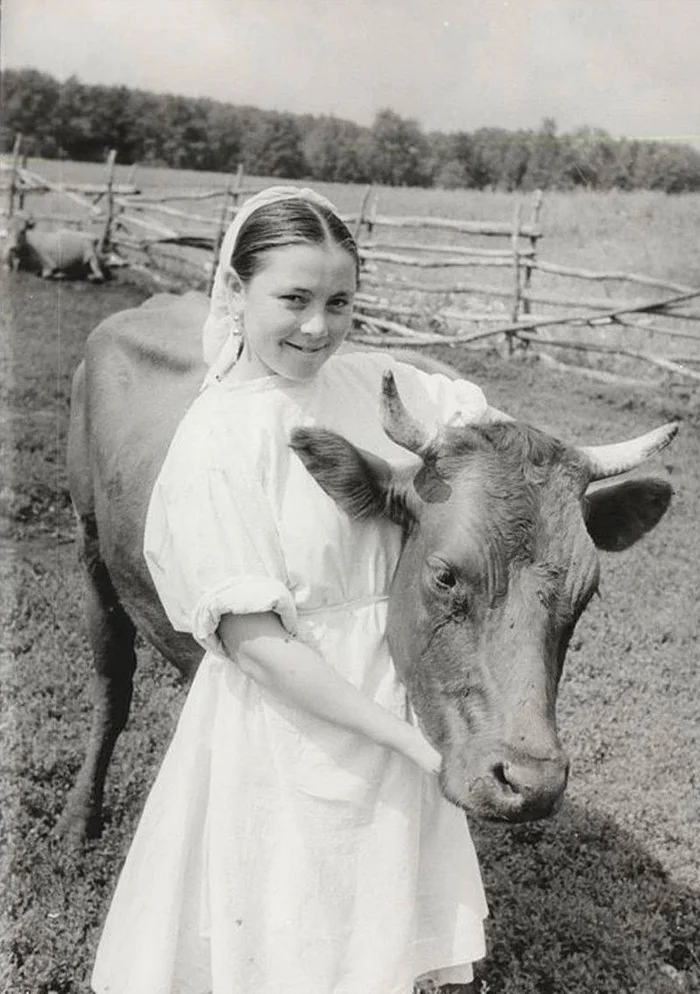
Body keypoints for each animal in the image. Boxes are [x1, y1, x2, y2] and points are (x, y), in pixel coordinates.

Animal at [60, 290, 680, 840]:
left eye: (587, 592)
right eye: (445, 576)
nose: (532, 783)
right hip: (90, 547)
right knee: (113, 685)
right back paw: (80, 816)